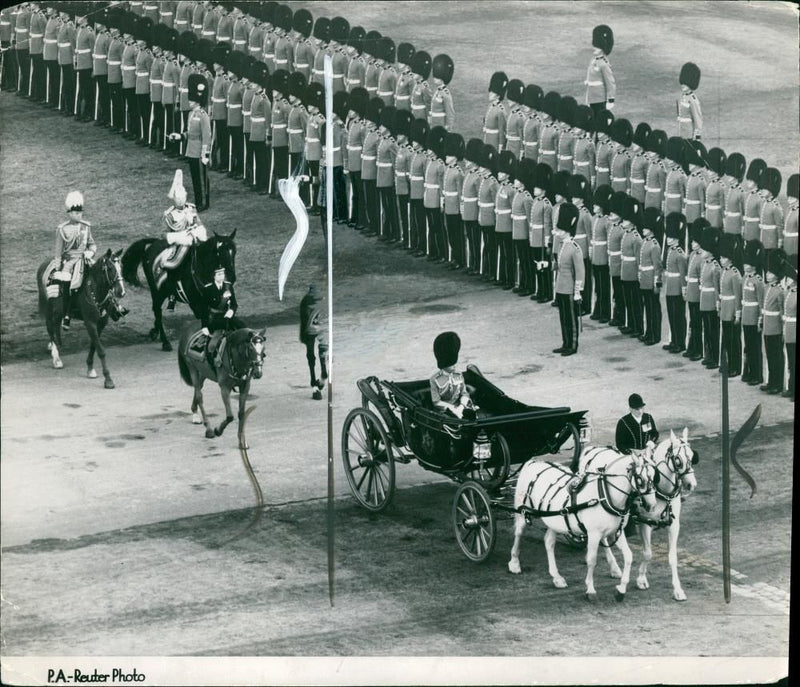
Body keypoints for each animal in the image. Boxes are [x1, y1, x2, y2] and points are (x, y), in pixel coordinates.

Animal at [36, 251, 128, 392]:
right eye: (110, 268)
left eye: (121, 267)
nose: (121, 291)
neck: (94, 290)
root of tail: (43, 264)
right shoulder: (90, 323)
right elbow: (101, 351)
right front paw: (108, 380)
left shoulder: (100, 324)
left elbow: (94, 346)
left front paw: (90, 368)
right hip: (49, 307)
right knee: (50, 328)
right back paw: (56, 358)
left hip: (58, 311)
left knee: (55, 326)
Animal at [510, 446, 652, 600]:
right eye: (640, 479)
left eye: (654, 476)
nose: (650, 505)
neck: (604, 495)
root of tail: (533, 461)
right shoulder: (594, 534)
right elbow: (591, 560)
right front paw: (590, 589)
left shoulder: (616, 532)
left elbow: (628, 556)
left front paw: (621, 589)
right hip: (522, 511)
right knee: (518, 532)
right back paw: (514, 563)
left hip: (554, 520)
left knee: (549, 542)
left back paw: (557, 577)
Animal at [632, 430, 700, 600]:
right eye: (678, 460)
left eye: (692, 456)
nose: (692, 484)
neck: (660, 490)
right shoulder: (645, 523)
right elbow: (648, 553)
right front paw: (641, 579)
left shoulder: (674, 525)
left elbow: (672, 557)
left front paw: (677, 589)